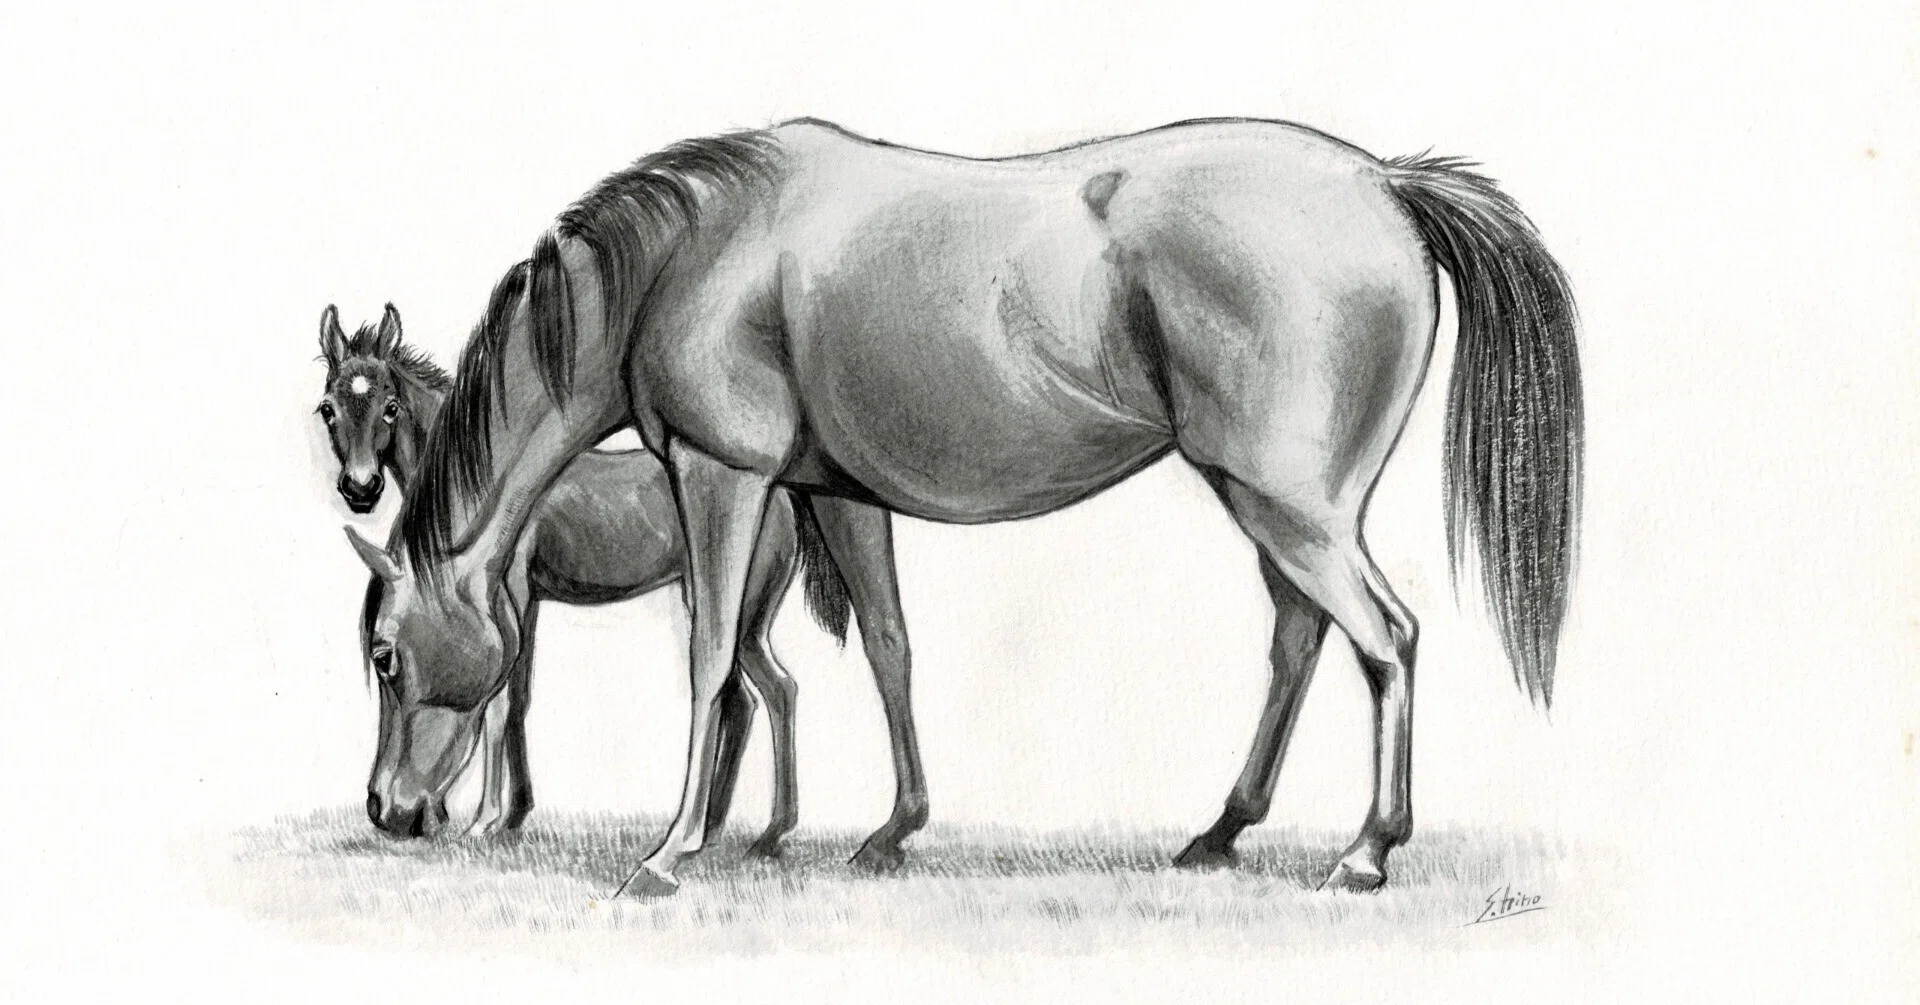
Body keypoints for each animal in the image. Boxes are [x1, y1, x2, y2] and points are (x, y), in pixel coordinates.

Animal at [323, 310, 927, 864]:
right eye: (329, 408)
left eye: (389, 406)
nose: (360, 488)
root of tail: (781, 493)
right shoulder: (525, 607)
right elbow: (517, 699)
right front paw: (514, 815)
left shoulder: (511, 594)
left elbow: (501, 702)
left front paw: (486, 822)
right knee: (748, 697)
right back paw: (718, 832)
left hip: (737, 614)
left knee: (773, 690)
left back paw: (753, 834)